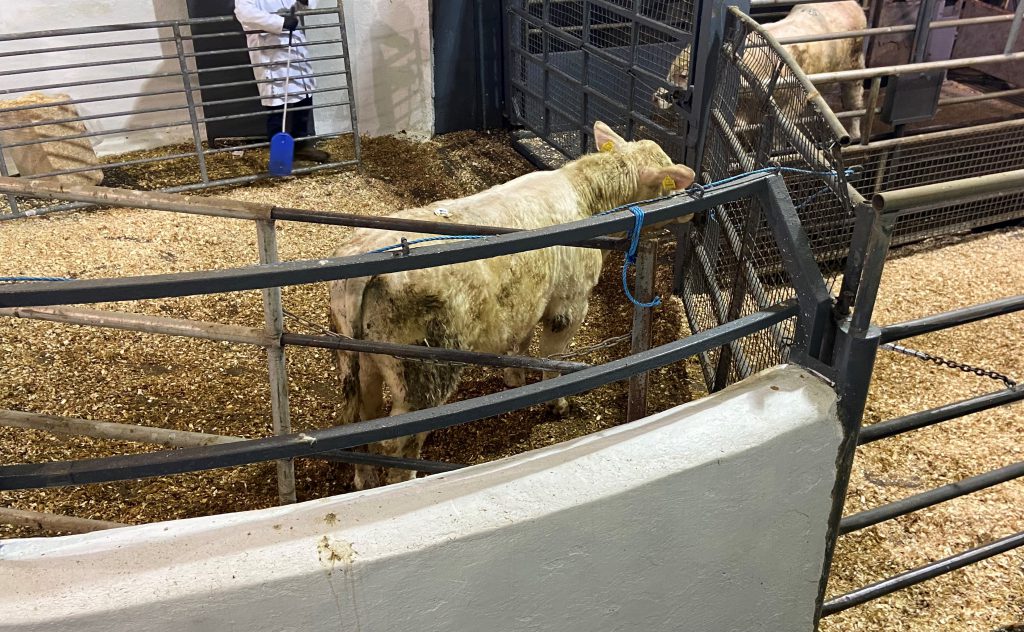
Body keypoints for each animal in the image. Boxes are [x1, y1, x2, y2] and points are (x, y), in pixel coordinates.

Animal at [328, 121, 695, 490]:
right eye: (672, 182)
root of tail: (370, 252)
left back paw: (364, 480)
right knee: (400, 440)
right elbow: (553, 359)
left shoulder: (528, 300)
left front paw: (515, 378)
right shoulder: (569, 305)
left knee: (361, 419)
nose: (691, 204)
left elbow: (520, 341)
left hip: (360, 361)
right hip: (425, 370)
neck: (585, 197)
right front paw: (557, 403)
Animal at [654, 1, 866, 139]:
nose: (656, 97)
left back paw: (855, 138)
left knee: (855, 101)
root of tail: (854, 5)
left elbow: (781, 133)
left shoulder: (795, 100)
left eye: (683, 75)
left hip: (855, 66)